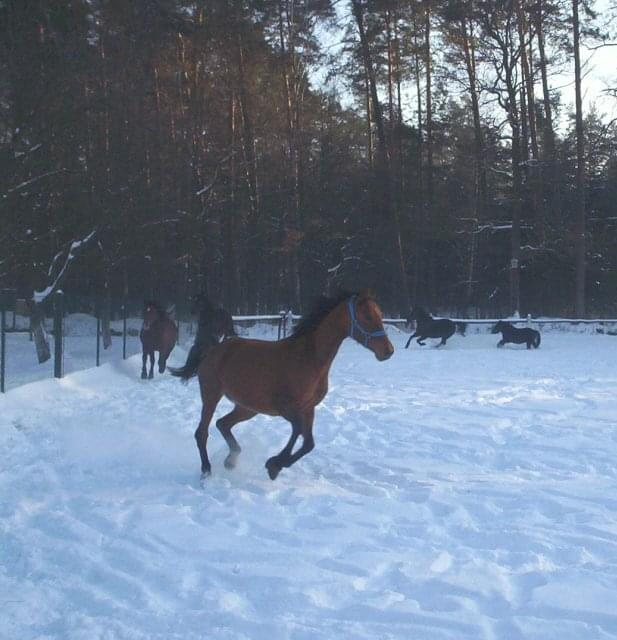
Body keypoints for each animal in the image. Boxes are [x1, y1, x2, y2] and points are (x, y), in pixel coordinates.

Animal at [168, 288, 392, 480]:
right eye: (367, 316)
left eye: (380, 314)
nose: (388, 351)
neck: (309, 359)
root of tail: (212, 351)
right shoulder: (287, 409)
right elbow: (298, 431)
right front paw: (274, 464)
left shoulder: (308, 409)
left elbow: (308, 443)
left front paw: (276, 465)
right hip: (211, 396)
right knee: (202, 432)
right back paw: (206, 470)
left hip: (247, 407)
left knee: (222, 424)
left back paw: (231, 460)